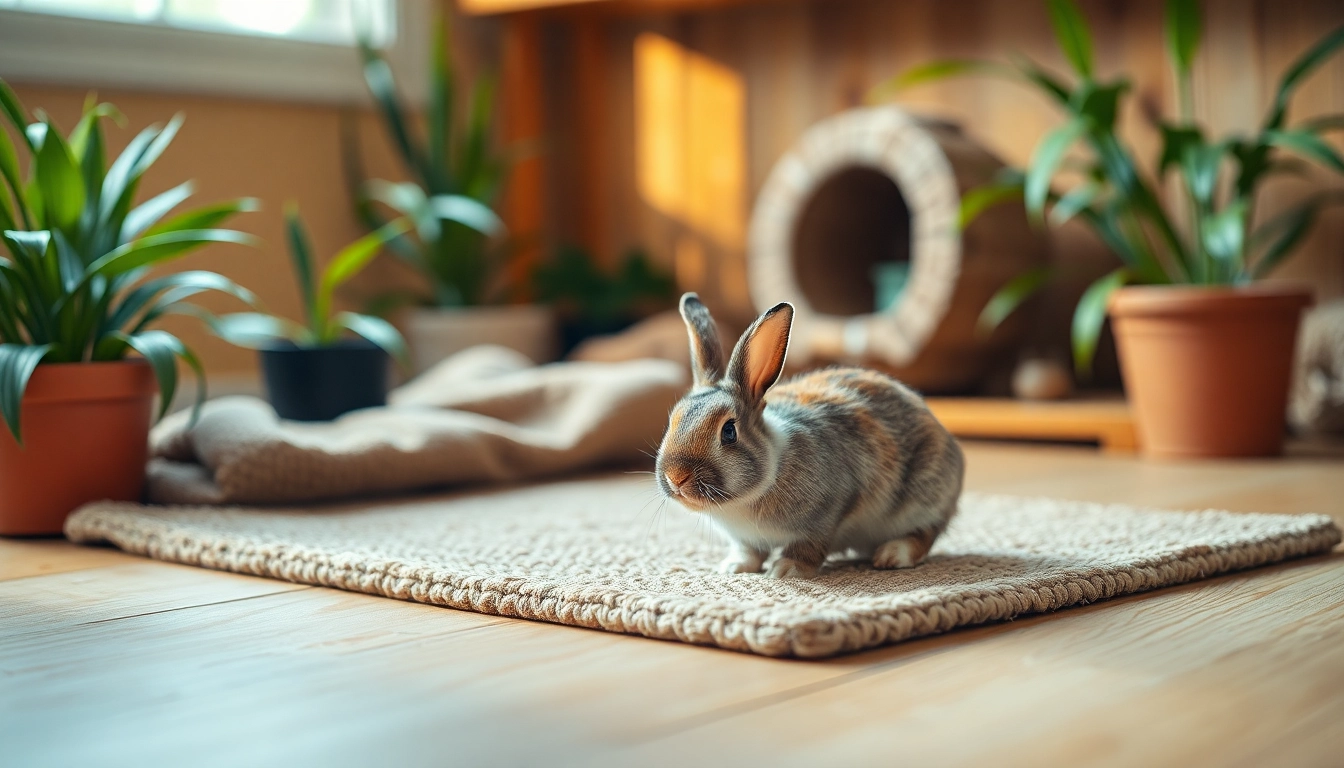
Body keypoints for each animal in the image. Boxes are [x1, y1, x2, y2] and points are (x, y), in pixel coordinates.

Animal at [655, 293, 965, 579]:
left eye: (729, 432)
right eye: (672, 420)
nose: (676, 477)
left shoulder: (829, 510)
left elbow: (808, 546)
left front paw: (785, 570)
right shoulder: (745, 539)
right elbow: (749, 551)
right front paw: (733, 567)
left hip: (923, 499)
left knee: (925, 533)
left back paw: (891, 555)